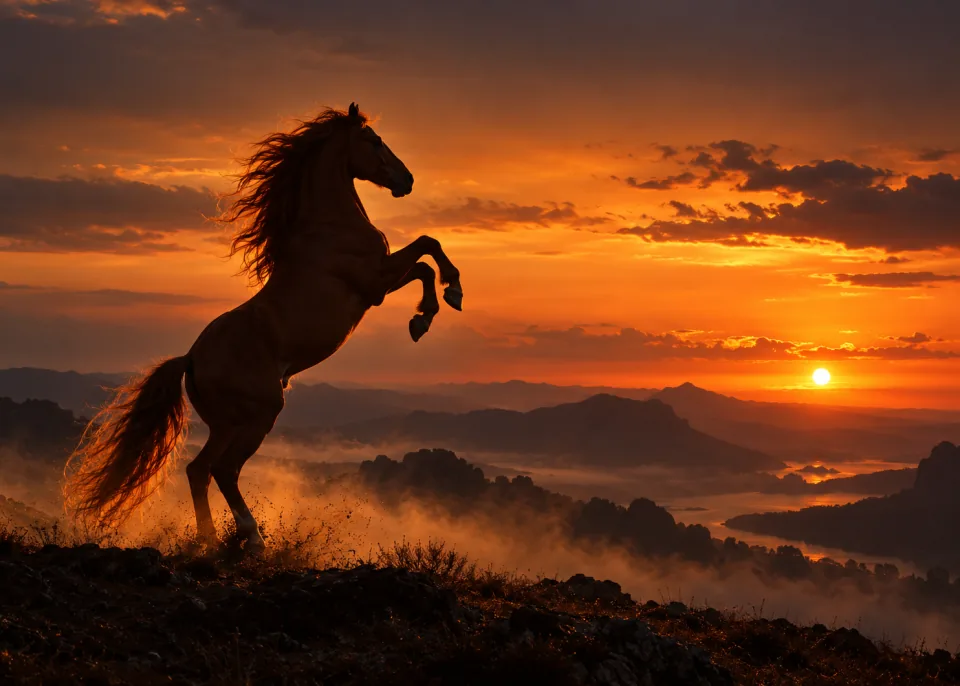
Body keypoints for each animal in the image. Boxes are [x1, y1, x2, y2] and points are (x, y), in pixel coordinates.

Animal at [64, 103, 463, 553]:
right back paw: (251, 536)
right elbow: (428, 248)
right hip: (258, 415)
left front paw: (425, 315)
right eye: (374, 140)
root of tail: (191, 359)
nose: (406, 180)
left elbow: (424, 263)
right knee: (221, 470)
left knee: (200, 470)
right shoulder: (376, 280)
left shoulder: (382, 281)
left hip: (226, 423)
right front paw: (447, 298)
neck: (328, 226)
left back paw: (211, 538)